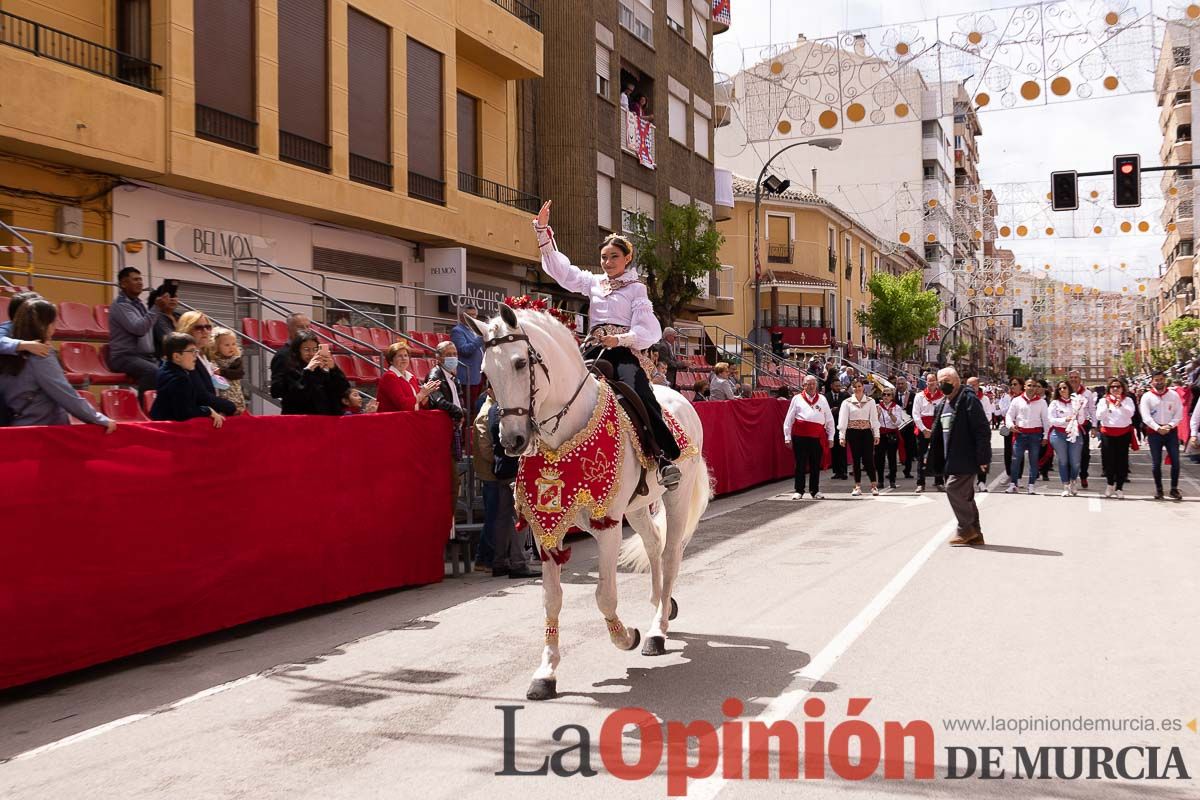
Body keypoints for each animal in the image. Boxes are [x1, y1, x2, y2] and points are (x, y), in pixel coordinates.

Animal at [465, 307, 710, 700]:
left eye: (520, 362)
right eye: (486, 371)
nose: (511, 440)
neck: (563, 438)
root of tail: (681, 398)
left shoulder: (606, 525)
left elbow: (605, 595)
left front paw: (626, 637)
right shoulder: (545, 531)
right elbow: (551, 599)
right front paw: (545, 673)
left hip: (676, 496)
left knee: (671, 554)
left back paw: (656, 631)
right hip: (636, 507)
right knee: (654, 547)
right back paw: (659, 604)